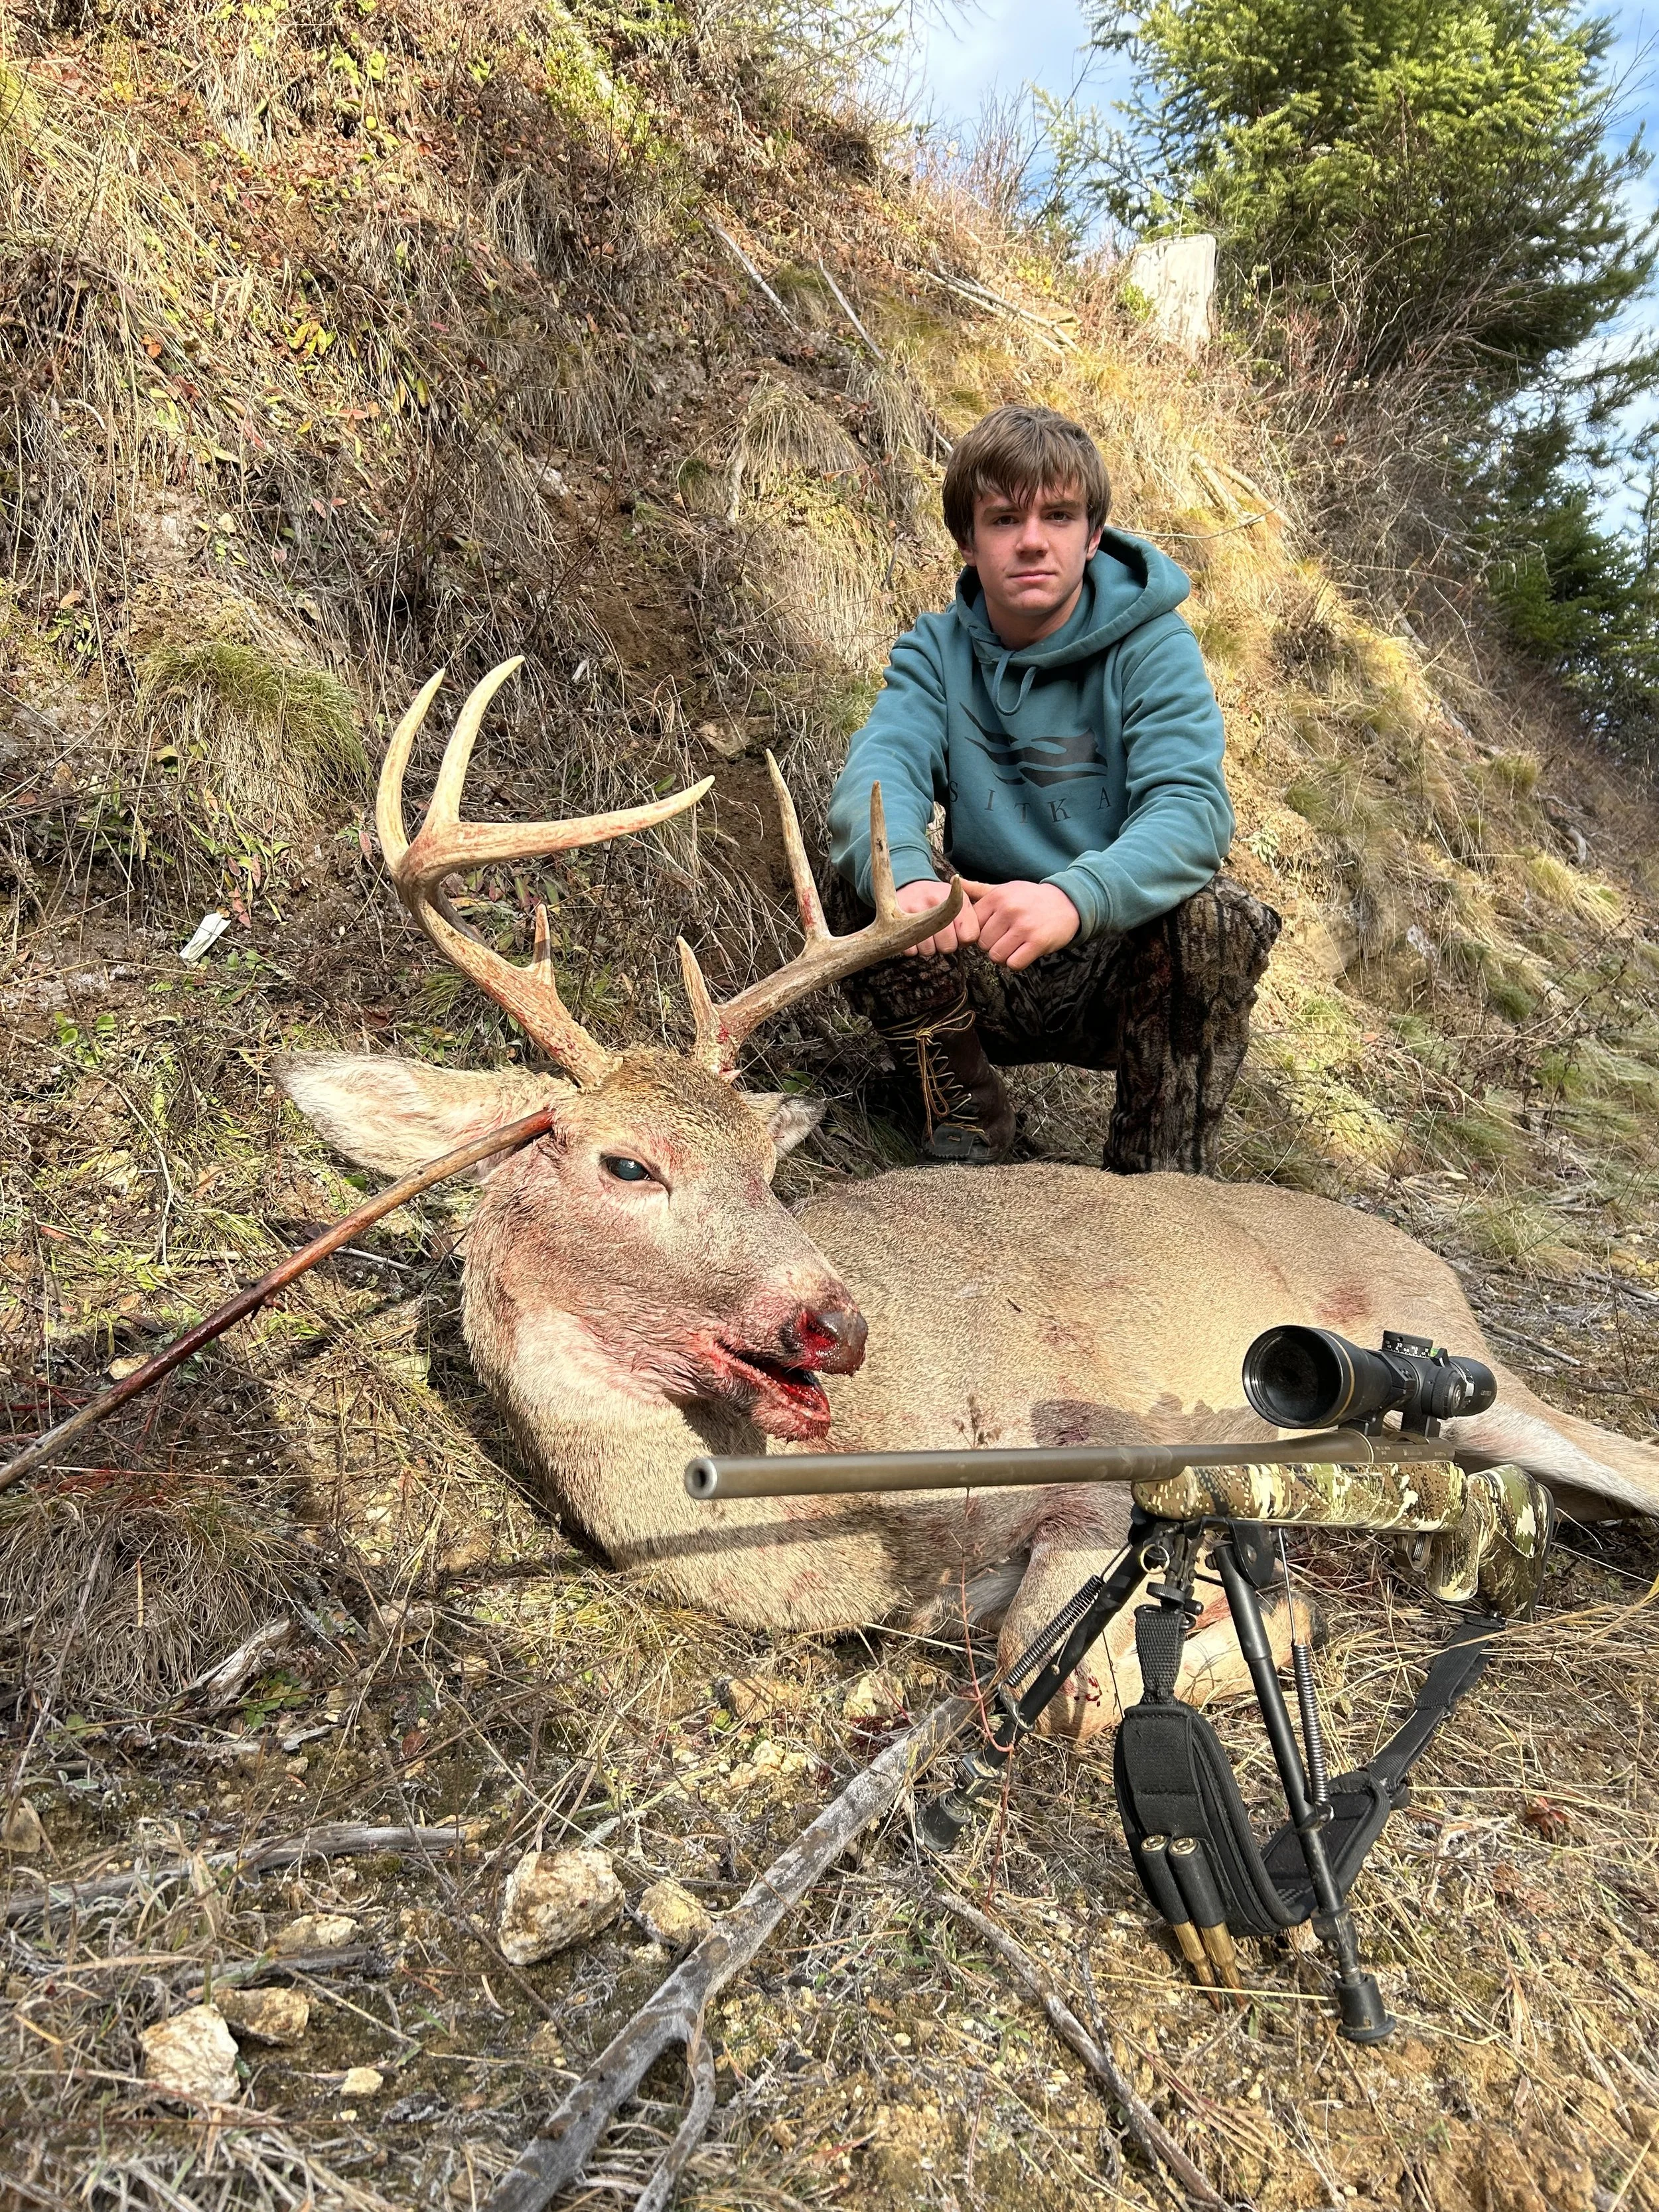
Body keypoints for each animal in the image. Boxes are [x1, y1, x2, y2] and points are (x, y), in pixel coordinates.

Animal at [279, 662, 1659, 1745]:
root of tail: (1425, 1255)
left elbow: (1057, 1677)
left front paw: (1267, 1613)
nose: (836, 1320)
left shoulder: (1101, 1454)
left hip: (1455, 1364)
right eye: (627, 1163)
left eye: (770, 1165)